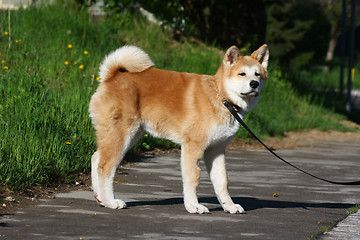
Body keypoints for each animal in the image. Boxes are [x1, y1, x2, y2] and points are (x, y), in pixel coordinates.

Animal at [89, 44, 270, 214]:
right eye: (242, 74)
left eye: (257, 74)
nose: (254, 84)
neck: (221, 97)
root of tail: (111, 77)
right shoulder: (193, 146)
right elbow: (193, 178)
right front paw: (193, 206)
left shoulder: (216, 150)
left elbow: (222, 181)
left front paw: (229, 206)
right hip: (123, 134)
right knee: (105, 166)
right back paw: (110, 201)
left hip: (130, 135)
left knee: (96, 157)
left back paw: (100, 198)